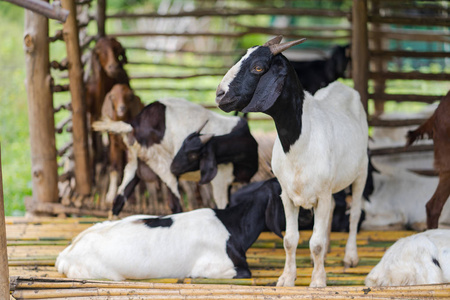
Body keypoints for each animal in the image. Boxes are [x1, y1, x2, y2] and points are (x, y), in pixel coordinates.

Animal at [92, 97, 250, 214]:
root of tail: (134, 125)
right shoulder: (221, 180)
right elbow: (223, 206)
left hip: (134, 163)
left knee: (118, 200)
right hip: (162, 163)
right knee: (175, 204)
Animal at [215, 36, 370, 288]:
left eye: (258, 67)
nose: (220, 95)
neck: (300, 142)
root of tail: (342, 87)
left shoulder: (322, 193)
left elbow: (315, 242)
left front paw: (318, 280)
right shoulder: (286, 193)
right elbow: (290, 239)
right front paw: (287, 278)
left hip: (361, 171)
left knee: (355, 212)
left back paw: (350, 257)